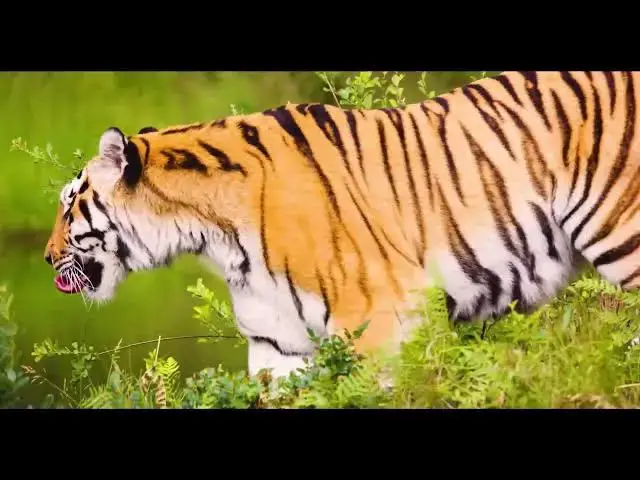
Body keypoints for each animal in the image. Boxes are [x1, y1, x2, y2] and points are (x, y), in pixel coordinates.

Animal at [43, 71, 640, 380]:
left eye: (70, 205)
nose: (47, 256)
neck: (215, 238)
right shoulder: (278, 345)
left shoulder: (381, 323)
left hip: (622, 235)